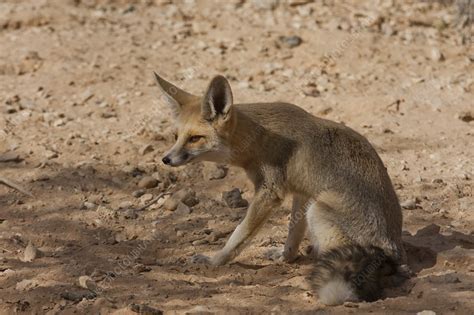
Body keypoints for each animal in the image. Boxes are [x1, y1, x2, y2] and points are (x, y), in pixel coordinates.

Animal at [155, 73, 408, 304]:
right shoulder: (301, 194)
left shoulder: (269, 192)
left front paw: (216, 260)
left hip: (318, 210)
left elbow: (239, 235)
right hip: (314, 205)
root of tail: (390, 253)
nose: (166, 159)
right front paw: (285, 257)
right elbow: (293, 233)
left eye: (195, 138)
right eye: (176, 137)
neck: (259, 137)